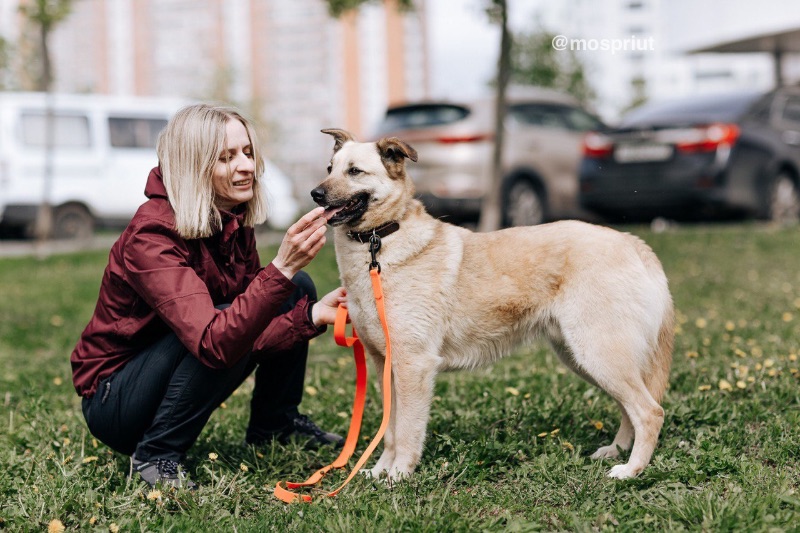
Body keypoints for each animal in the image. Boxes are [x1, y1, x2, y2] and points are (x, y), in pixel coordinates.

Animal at [310, 128, 672, 478]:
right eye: (329, 169)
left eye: (354, 171)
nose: (315, 194)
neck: (379, 244)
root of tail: (631, 241)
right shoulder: (385, 367)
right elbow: (389, 432)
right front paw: (379, 472)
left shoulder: (414, 365)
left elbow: (407, 432)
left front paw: (398, 475)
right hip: (586, 359)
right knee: (630, 409)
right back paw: (616, 451)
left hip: (599, 354)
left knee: (650, 411)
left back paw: (631, 470)